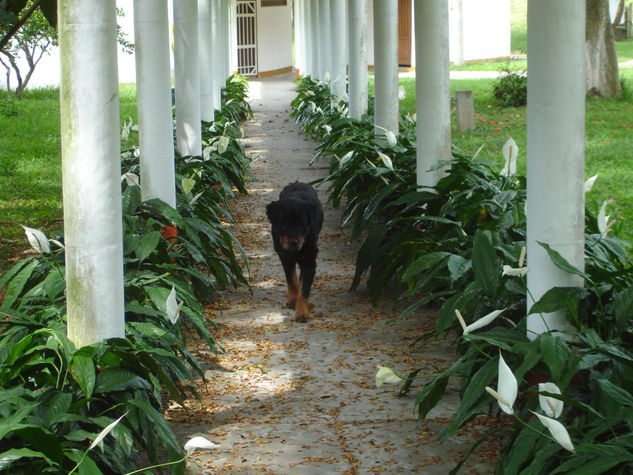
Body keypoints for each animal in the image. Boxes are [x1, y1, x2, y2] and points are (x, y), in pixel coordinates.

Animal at [266, 182, 324, 324]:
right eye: (284, 225)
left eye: (301, 225)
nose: (293, 242)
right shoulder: (285, 257)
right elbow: (291, 281)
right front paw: (292, 301)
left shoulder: (309, 261)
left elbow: (303, 290)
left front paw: (301, 313)